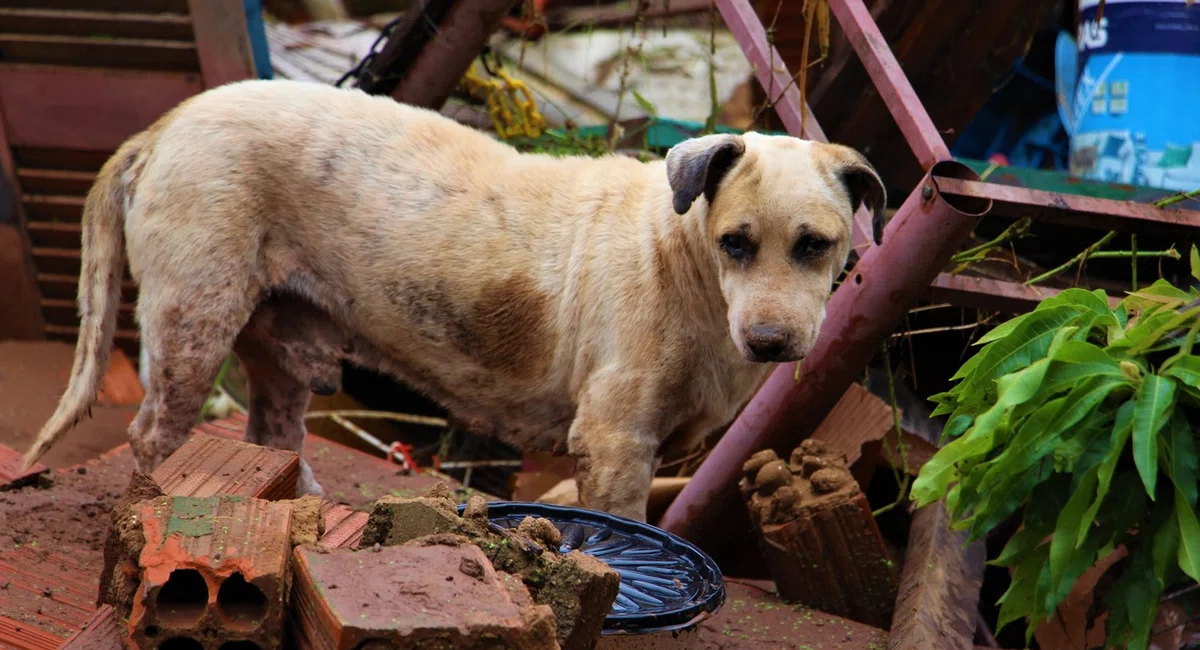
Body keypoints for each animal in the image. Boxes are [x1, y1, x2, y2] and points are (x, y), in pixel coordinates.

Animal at [23, 79, 888, 522]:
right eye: (735, 242)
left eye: (816, 245)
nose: (772, 341)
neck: (683, 259)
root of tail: (162, 129)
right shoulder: (614, 443)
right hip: (193, 321)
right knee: (154, 435)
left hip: (278, 344)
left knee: (273, 438)